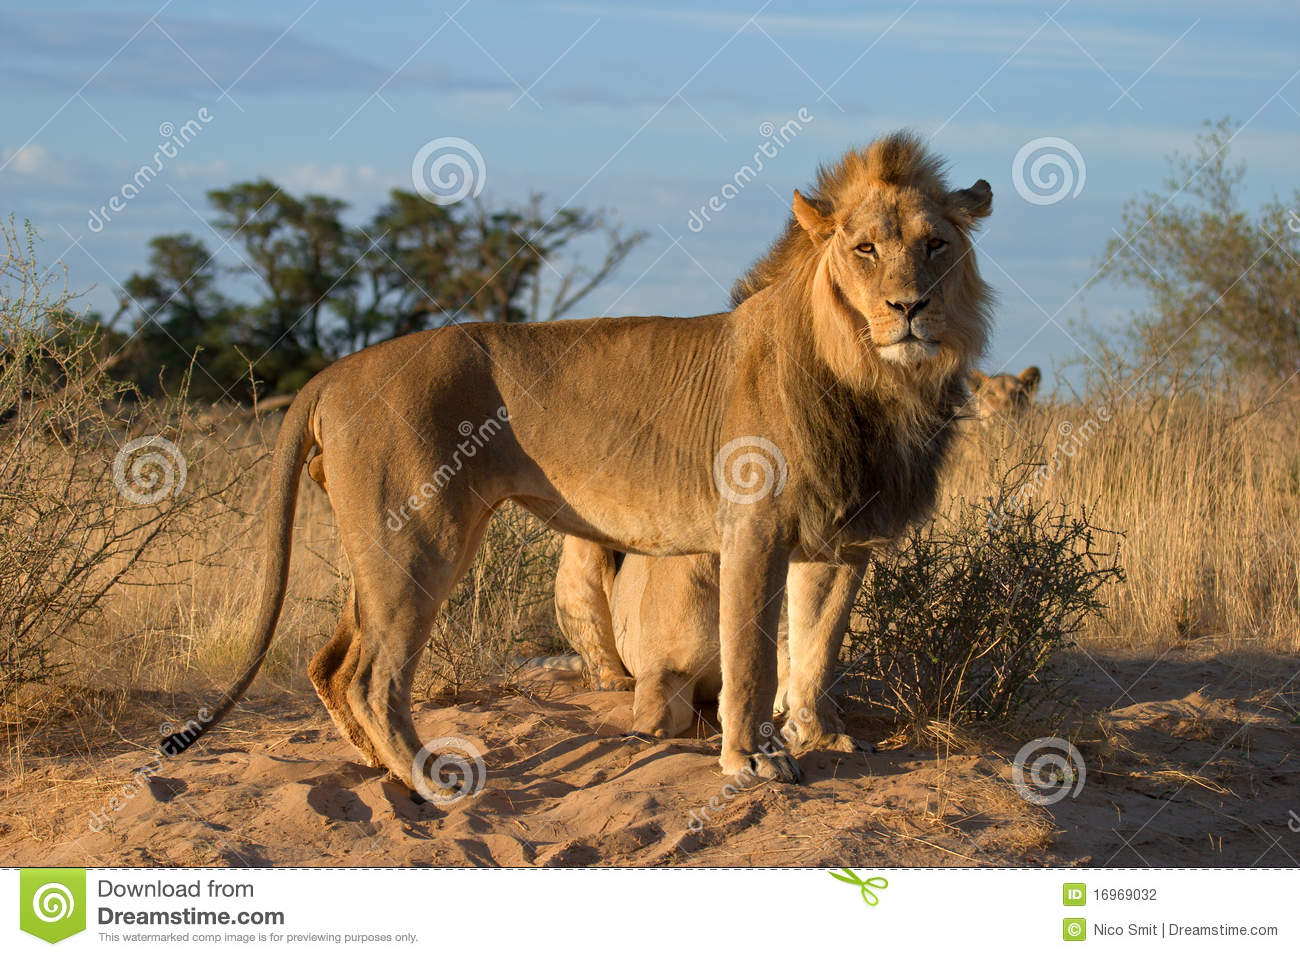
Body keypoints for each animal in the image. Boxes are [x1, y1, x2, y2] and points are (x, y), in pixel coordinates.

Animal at [162, 130, 993, 795]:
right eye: (864, 248)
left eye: (935, 245)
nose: (909, 307)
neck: (874, 379)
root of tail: (334, 372)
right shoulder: (752, 530)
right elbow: (753, 660)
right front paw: (750, 762)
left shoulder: (841, 538)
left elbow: (817, 646)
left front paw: (823, 739)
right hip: (420, 538)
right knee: (371, 677)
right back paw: (431, 781)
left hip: (380, 544)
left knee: (330, 663)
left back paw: (376, 769)